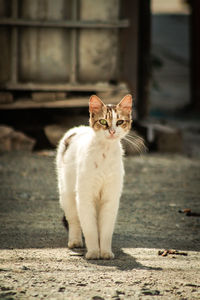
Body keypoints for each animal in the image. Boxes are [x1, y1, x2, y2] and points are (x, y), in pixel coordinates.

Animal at [56, 94, 134, 260]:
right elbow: (90, 228)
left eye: (119, 122)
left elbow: (105, 230)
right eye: (103, 121)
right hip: (67, 195)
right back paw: (75, 241)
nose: (112, 131)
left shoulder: (110, 199)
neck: (105, 152)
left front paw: (105, 252)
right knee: (74, 220)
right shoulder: (85, 197)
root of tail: (78, 128)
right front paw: (92, 252)